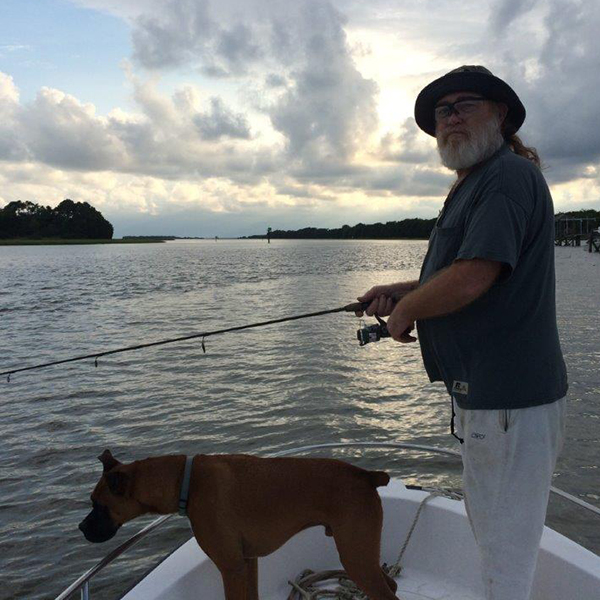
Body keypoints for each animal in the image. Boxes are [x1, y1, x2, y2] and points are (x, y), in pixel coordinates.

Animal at [78, 450, 398, 600]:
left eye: (98, 504)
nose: (81, 528)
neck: (185, 481)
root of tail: (366, 475)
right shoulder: (248, 561)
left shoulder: (231, 568)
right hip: (363, 556)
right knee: (391, 584)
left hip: (356, 558)